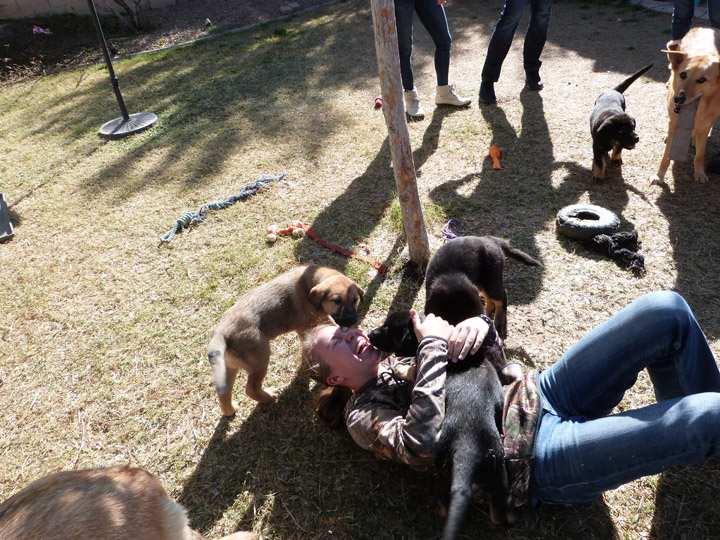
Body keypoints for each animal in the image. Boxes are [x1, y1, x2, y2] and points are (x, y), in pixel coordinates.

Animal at [208, 264, 366, 414]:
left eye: (355, 300)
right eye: (336, 301)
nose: (353, 319)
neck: (308, 286)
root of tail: (220, 334)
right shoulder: (309, 323)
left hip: (229, 367)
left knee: (224, 392)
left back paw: (230, 410)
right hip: (260, 360)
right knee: (251, 388)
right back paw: (269, 396)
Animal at [648, 26, 720, 184]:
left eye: (702, 80)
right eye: (682, 75)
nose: (678, 99)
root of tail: (706, 27)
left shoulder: (705, 125)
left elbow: (700, 155)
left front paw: (699, 173)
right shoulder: (675, 122)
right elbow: (666, 156)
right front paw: (659, 175)